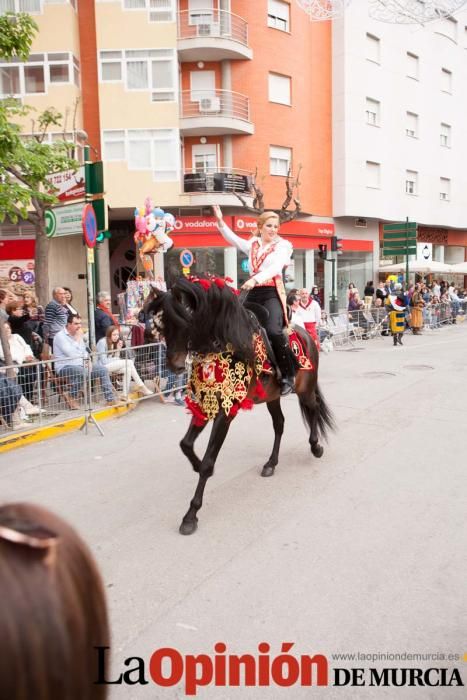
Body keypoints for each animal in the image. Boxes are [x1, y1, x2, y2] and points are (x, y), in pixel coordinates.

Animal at [148, 276, 334, 532]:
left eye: (183, 321)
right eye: (161, 324)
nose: (174, 366)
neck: (224, 345)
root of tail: (305, 334)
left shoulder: (226, 412)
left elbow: (208, 462)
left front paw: (191, 515)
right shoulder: (206, 404)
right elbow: (185, 444)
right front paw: (195, 465)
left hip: (305, 388)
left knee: (313, 409)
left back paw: (315, 447)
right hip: (272, 397)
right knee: (279, 424)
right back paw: (271, 463)